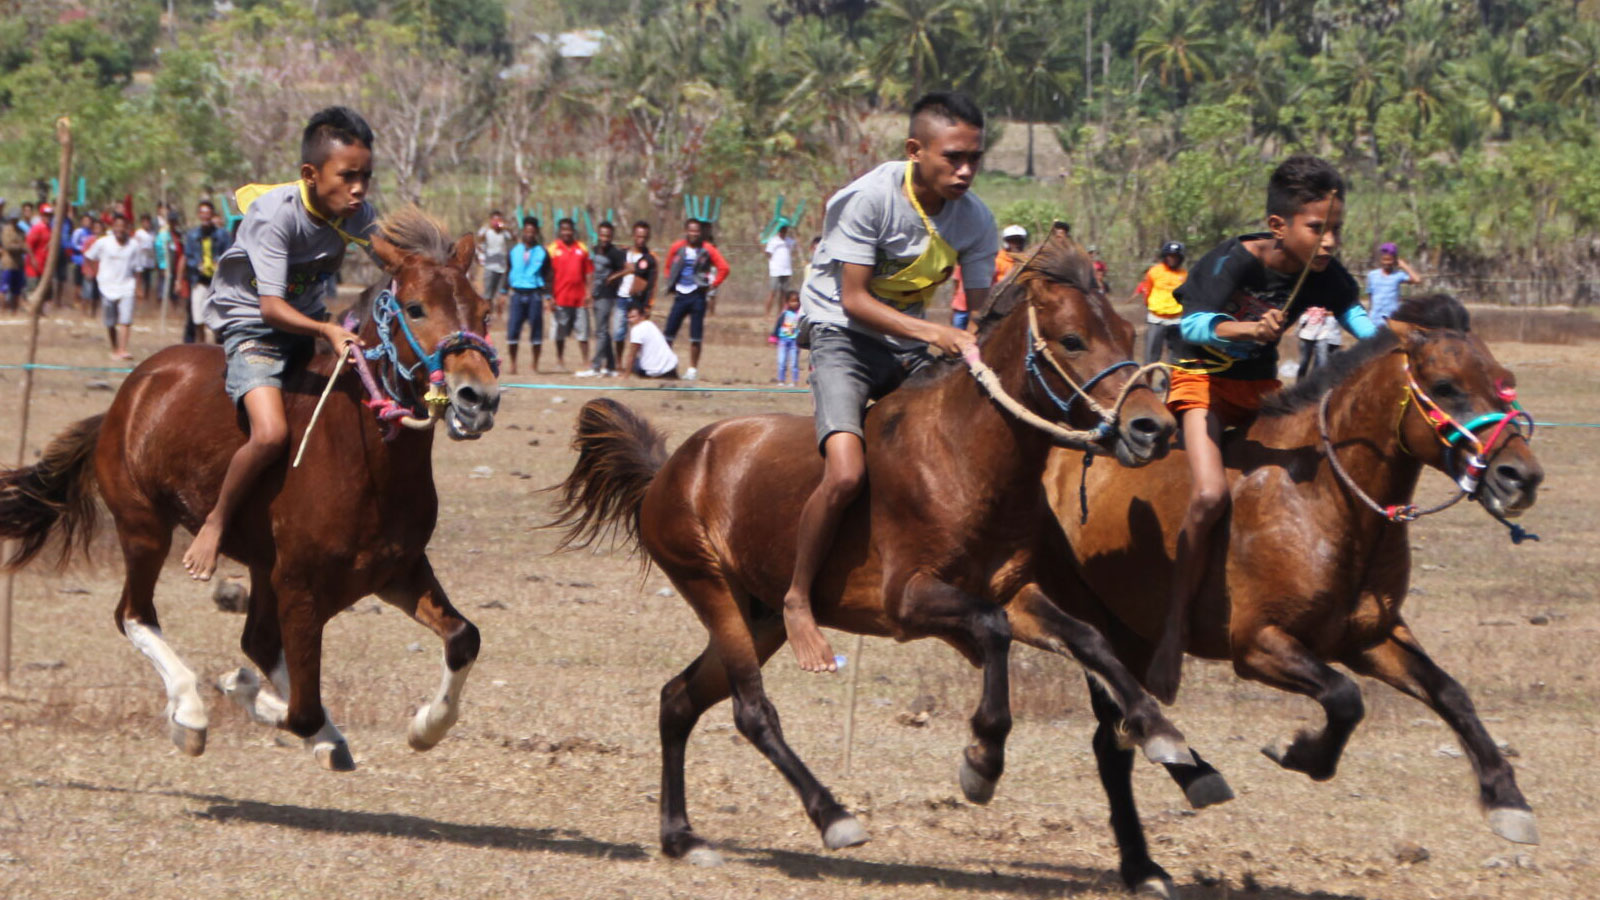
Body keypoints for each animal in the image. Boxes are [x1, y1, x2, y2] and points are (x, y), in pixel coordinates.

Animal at [0, 206, 499, 768]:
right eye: (415, 309)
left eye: (483, 310)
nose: (478, 398)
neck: (367, 460)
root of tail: (123, 401)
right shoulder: (299, 588)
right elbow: (301, 706)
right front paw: (243, 692)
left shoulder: (397, 571)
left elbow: (463, 637)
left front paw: (425, 726)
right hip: (144, 527)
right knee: (134, 614)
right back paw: (190, 713)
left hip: (258, 563)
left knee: (255, 640)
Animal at [550, 232, 1190, 871]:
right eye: (1073, 339)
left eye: (1129, 334)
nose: (1153, 429)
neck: (963, 455)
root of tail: (670, 469)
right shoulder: (908, 600)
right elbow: (992, 632)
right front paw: (982, 759)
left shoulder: (1011, 591)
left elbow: (1087, 638)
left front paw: (1160, 730)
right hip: (711, 589)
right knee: (751, 712)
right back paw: (833, 816)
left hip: (760, 617)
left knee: (678, 699)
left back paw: (681, 835)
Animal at [1004, 296, 1542, 890]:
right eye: (1446, 386)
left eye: (1504, 381)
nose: (1520, 477)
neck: (1323, 499)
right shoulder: (1258, 645)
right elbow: (1344, 697)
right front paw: (1298, 751)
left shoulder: (1371, 637)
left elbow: (1450, 693)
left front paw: (1506, 797)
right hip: (1094, 618)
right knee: (1116, 736)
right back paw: (1150, 848)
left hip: (1131, 631)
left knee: (1121, 732)